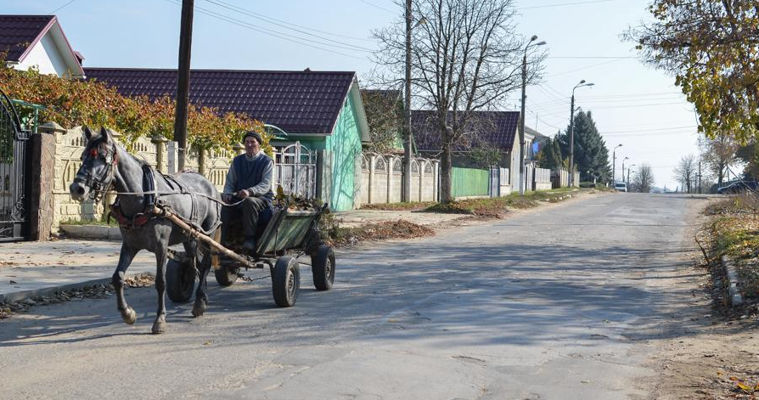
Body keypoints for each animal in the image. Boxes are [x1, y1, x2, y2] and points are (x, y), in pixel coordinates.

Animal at [69, 126, 222, 334]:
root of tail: (208, 183)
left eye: (101, 157)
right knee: (194, 264)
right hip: (189, 237)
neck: (144, 198)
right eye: (83, 156)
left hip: (207, 235)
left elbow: (160, 282)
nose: (76, 188)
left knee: (205, 264)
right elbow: (117, 277)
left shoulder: (161, 247)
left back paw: (199, 302)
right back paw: (201, 296)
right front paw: (128, 314)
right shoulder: (130, 245)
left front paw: (160, 319)